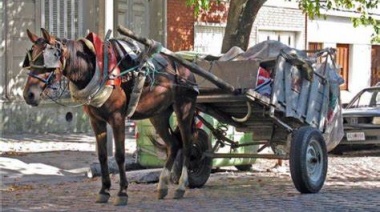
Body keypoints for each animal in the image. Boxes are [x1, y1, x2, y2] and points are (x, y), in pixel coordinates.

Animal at [22, 28, 203, 205]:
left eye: (47, 60)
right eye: (30, 60)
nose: (29, 95)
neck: (97, 71)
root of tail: (185, 67)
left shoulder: (117, 119)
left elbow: (120, 156)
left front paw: (122, 192)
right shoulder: (96, 121)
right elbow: (102, 156)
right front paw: (104, 190)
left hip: (184, 108)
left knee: (187, 145)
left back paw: (181, 187)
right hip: (158, 114)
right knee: (173, 145)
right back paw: (163, 186)